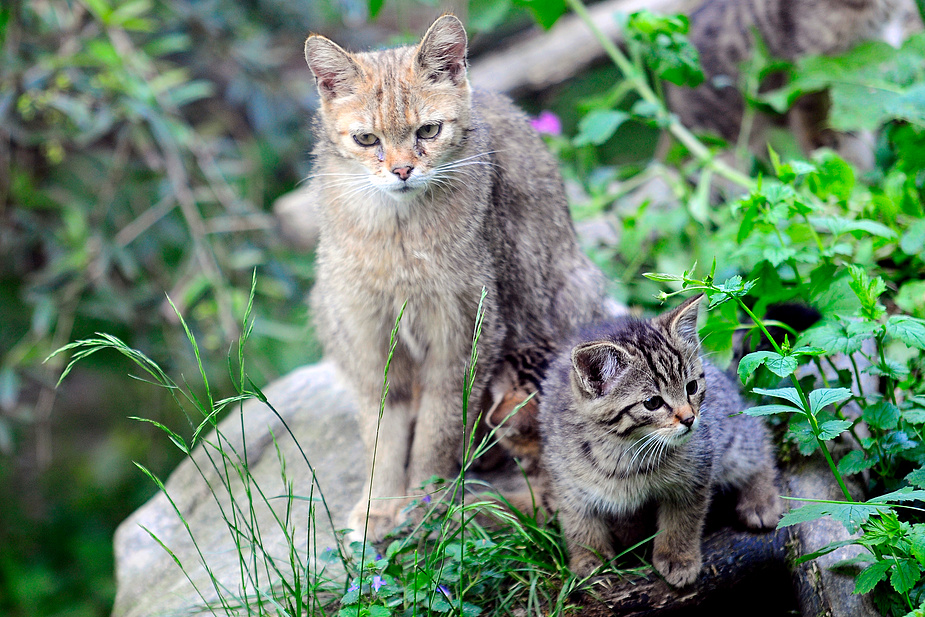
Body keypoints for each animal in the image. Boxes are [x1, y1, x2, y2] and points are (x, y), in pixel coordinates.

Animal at [540, 296, 780, 584]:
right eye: (653, 403)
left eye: (691, 387)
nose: (689, 419)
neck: (624, 451)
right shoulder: (567, 478)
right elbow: (578, 520)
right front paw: (590, 557)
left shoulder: (695, 470)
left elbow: (683, 519)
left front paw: (678, 557)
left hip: (730, 435)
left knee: (758, 434)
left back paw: (761, 501)